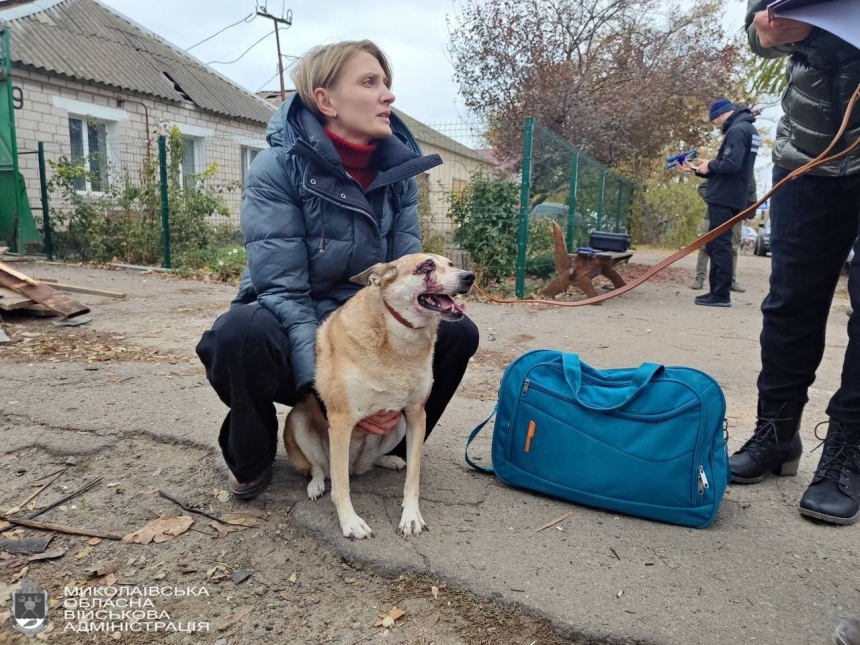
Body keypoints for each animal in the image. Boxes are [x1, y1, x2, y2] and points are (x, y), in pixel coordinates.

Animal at [282, 252, 474, 540]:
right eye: (425, 267)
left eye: (451, 265)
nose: (469, 277)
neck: (399, 341)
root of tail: (355, 465)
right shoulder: (341, 421)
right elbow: (341, 487)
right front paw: (350, 523)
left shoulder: (416, 414)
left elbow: (413, 477)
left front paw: (411, 516)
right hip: (298, 423)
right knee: (320, 469)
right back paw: (316, 485)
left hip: (399, 425)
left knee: (369, 461)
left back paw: (388, 459)